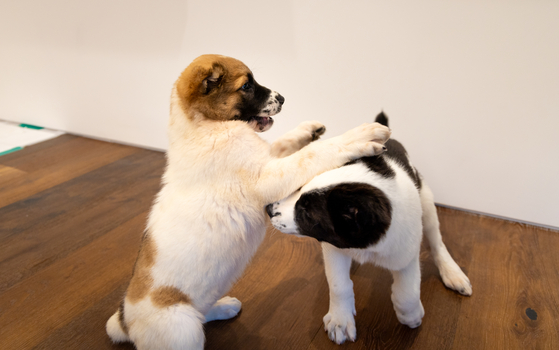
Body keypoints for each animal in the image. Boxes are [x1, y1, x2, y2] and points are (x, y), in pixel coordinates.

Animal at [107, 54, 392, 350]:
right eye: (246, 86)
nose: (283, 98)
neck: (205, 126)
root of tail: (126, 322)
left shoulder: (267, 157)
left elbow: (285, 142)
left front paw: (308, 130)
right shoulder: (267, 177)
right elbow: (314, 153)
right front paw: (358, 137)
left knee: (203, 314)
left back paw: (223, 307)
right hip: (182, 329)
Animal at [266, 113, 472, 344]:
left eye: (306, 213)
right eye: (300, 187)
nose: (268, 209)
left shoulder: (405, 253)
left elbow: (407, 293)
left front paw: (411, 315)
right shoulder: (333, 248)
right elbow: (339, 284)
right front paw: (340, 319)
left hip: (426, 202)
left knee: (436, 241)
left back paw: (452, 272)